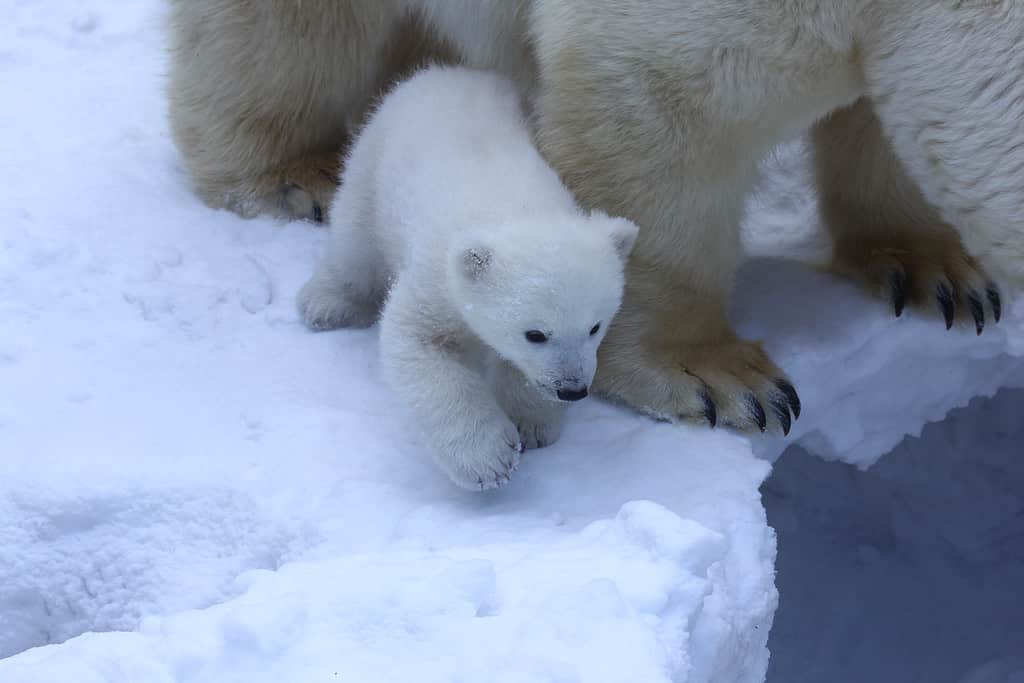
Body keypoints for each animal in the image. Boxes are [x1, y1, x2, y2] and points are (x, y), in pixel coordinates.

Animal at [297, 66, 639, 490]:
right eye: (536, 334)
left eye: (595, 326)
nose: (573, 390)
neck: (515, 209)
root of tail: (443, 71)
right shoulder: (437, 277)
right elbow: (420, 343)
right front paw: (490, 461)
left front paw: (533, 426)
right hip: (374, 159)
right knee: (354, 241)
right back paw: (325, 303)